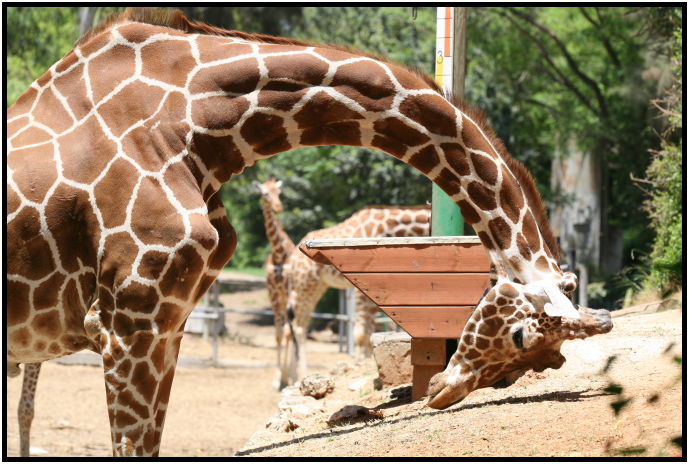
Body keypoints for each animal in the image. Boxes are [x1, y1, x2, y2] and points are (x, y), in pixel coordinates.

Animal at [281, 204, 431, 388]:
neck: (390, 227)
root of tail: (291, 260)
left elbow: (369, 332)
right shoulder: (362, 285)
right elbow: (360, 333)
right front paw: (360, 365)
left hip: (311, 287)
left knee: (291, 327)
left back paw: (288, 379)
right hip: (306, 285)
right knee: (298, 328)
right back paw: (299, 376)